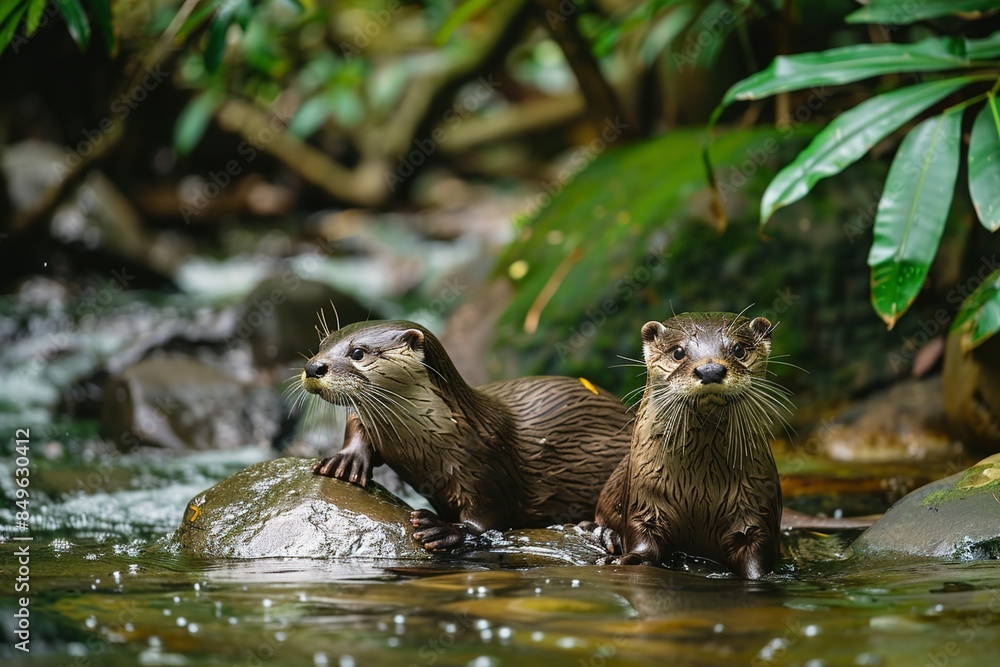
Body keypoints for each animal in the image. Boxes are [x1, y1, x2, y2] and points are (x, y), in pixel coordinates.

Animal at [295, 319, 632, 551]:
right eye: (322, 342)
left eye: (358, 353)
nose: (313, 367)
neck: (424, 439)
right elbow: (357, 422)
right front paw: (346, 460)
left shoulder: (487, 462)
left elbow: (489, 517)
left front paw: (441, 529)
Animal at [593, 312, 789, 579]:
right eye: (678, 352)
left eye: (738, 349)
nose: (710, 370)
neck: (700, 491)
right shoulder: (643, 498)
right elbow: (643, 540)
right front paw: (624, 558)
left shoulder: (757, 505)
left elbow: (757, 553)